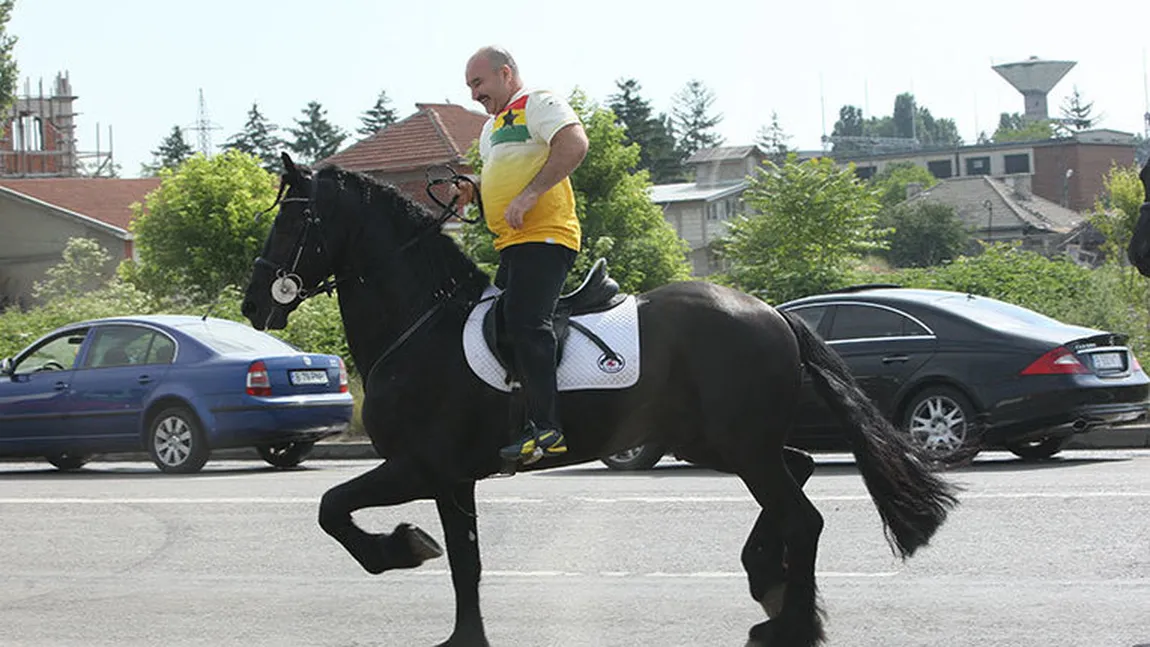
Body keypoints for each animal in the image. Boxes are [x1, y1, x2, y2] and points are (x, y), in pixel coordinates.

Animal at [242, 155, 961, 647]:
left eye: (292, 217)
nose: (253, 304)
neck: (423, 326)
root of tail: (774, 313)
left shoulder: (422, 467)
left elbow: (335, 508)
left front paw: (401, 547)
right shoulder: (450, 478)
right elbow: (463, 560)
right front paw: (457, 623)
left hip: (738, 446)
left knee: (803, 517)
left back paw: (791, 624)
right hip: (719, 440)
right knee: (801, 473)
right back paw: (767, 583)